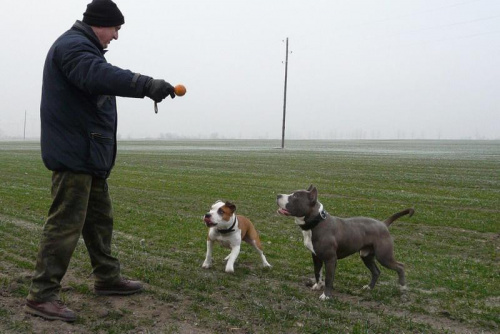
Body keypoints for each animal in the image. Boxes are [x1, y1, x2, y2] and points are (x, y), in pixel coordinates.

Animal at [276, 185, 412, 300]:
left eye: (295, 196)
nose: (278, 195)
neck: (317, 222)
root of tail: (383, 224)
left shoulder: (330, 259)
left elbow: (329, 278)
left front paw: (326, 295)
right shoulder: (316, 256)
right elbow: (317, 272)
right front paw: (318, 286)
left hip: (384, 256)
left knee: (400, 266)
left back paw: (402, 287)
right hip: (366, 255)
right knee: (376, 271)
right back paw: (369, 288)